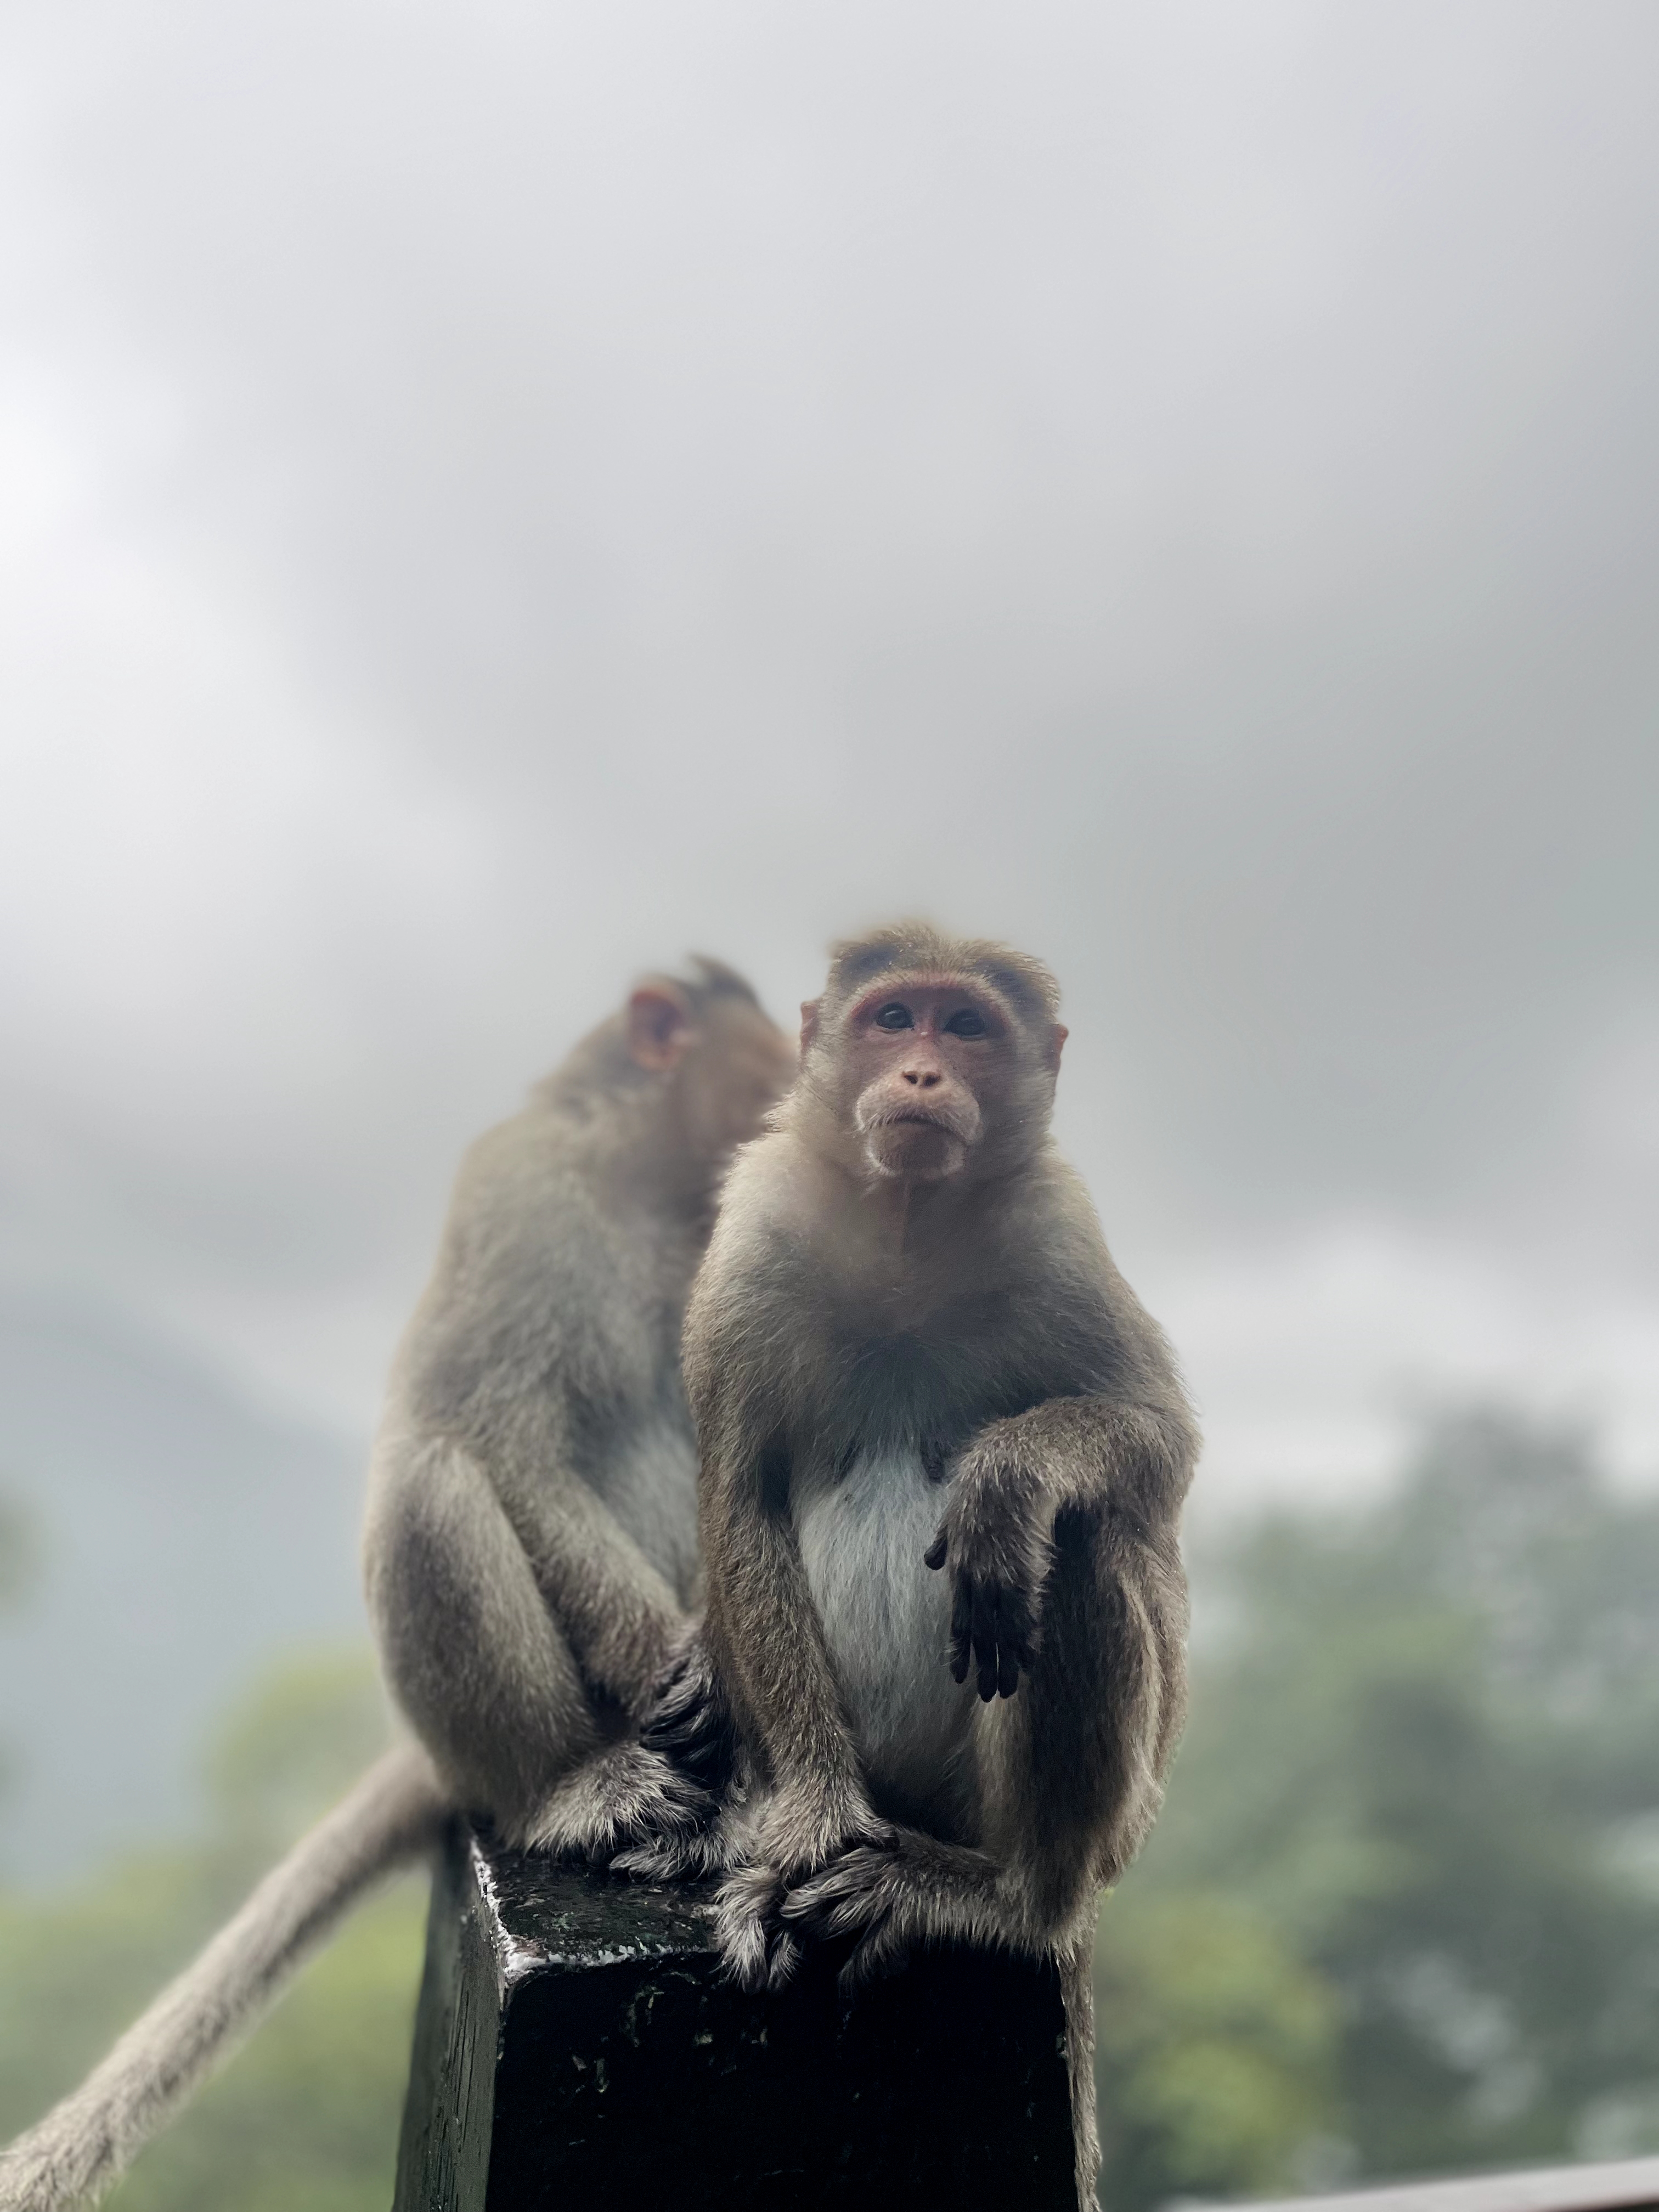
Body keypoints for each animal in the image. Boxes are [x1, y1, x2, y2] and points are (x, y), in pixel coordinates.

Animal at [637, 924, 1194, 2203]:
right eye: (895, 1019)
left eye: (968, 1025)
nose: (925, 1073)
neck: (904, 1222)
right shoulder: (753, 1235)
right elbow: (740, 1494)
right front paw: (805, 1818)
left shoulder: (1059, 1229)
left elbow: (1155, 1444)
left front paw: (1010, 1477)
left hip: (1064, 1821)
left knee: (1081, 1539)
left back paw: (1008, 1901)